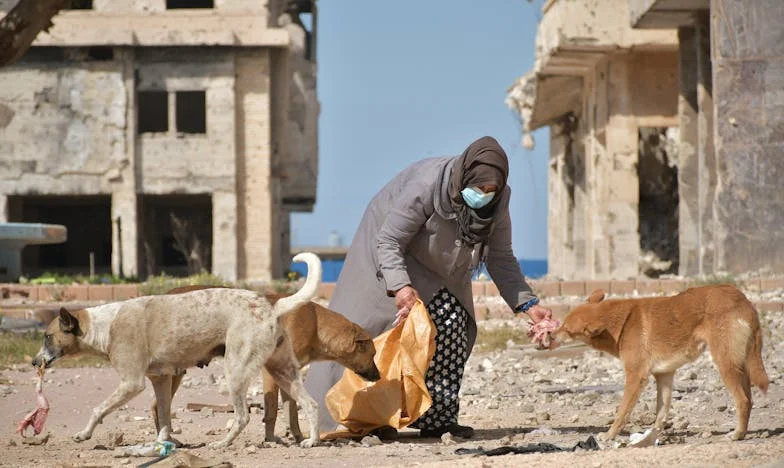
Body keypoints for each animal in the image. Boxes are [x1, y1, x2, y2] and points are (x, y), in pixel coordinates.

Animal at [32, 252, 324, 450]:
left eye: (48, 337)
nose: (35, 363)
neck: (105, 326)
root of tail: (270, 306)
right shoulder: (160, 380)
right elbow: (163, 415)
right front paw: (163, 444)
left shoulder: (132, 383)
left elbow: (98, 409)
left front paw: (84, 434)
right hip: (283, 370)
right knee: (310, 403)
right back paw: (311, 441)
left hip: (236, 370)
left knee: (242, 416)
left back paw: (222, 444)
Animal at [159, 286, 380, 442]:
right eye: (373, 354)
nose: (378, 377)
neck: (316, 325)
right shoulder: (271, 372)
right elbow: (272, 410)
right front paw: (270, 438)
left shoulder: (288, 372)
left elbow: (292, 410)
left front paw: (298, 437)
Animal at [556, 284, 768, 440]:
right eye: (563, 324)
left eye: (566, 329)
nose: (550, 333)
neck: (622, 323)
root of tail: (743, 301)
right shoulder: (664, 375)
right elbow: (661, 411)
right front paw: (653, 435)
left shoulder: (635, 377)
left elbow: (622, 411)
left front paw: (609, 435)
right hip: (742, 363)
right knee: (749, 399)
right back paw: (743, 432)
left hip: (726, 363)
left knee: (743, 401)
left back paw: (737, 434)